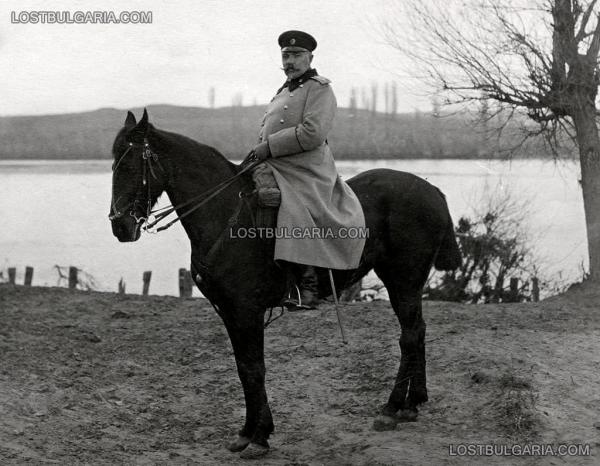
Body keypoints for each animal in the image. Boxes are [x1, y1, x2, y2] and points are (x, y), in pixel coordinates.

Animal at [110, 109, 462, 458]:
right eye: (113, 164)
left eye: (129, 165)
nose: (120, 227)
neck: (226, 215)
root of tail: (431, 190)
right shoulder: (231, 313)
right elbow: (243, 368)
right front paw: (247, 432)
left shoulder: (247, 312)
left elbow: (254, 369)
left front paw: (259, 436)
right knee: (417, 332)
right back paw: (413, 402)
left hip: (403, 280)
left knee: (409, 336)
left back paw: (393, 407)